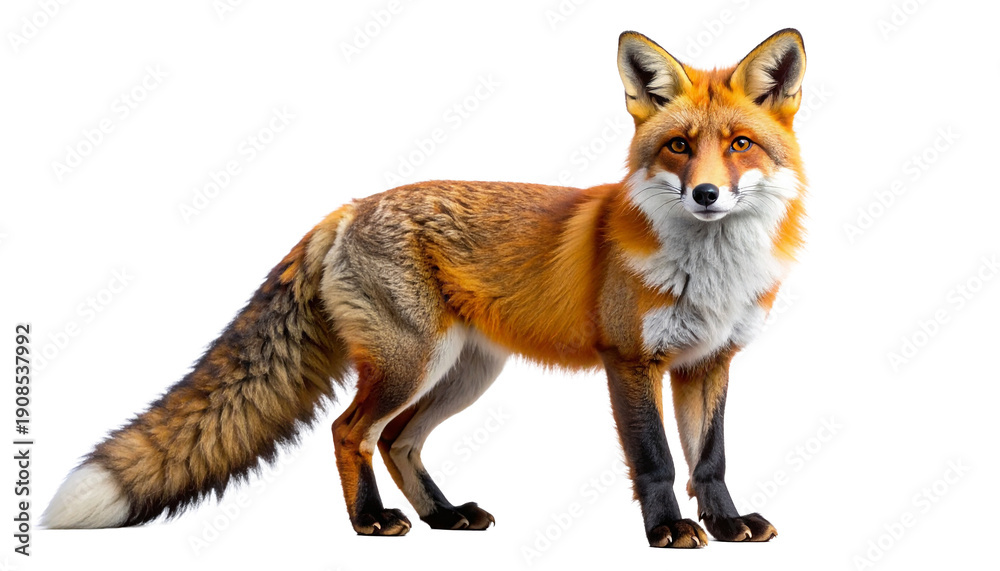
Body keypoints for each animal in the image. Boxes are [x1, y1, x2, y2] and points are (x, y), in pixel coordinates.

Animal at [43, 28, 807, 548]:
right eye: (679, 147)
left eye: (740, 145)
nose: (707, 194)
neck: (709, 270)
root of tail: (348, 207)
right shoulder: (630, 362)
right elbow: (655, 459)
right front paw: (668, 532)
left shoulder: (709, 361)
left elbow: (709, 457)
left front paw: (728, 523)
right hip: (412, 362)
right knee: (350, 431)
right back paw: (370, 519)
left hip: (463, 373)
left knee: (397, 440)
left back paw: (442, 514)